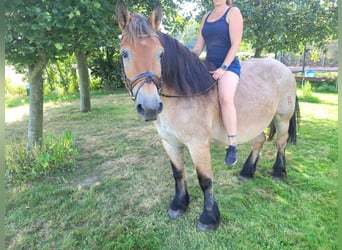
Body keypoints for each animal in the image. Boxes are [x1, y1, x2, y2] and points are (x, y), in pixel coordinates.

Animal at [116, 0, 298, 230]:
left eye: (160, 54)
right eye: (124, 54)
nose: (149, 107)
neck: (182, 94)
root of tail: (285, 68)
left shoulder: (198, 144)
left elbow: (205, 179)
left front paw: (209, 217)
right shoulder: (169, 142)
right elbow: (178, 173)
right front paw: (179, 205)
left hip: (282, 118)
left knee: (281, 143)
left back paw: (278, 172)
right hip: (255, 121)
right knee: (260, 140)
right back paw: (247, 172)